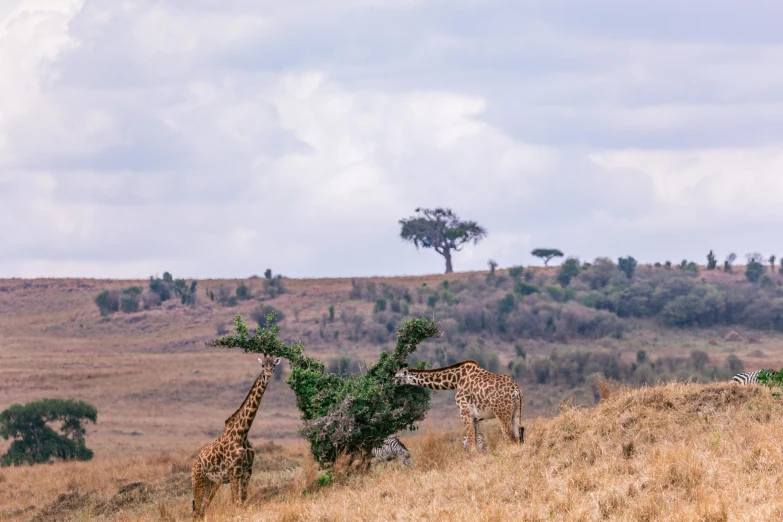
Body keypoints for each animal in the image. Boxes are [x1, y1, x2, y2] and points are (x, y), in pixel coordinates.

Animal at [191, 352, 280, 516]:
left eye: (273, 365)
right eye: (262, 365)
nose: (268, 375)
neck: (243, 432)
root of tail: (194, 463)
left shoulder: (247, 471)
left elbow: (243, 502)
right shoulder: (234, 472)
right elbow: (235, 503)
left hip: (210, 482)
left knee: (202, 510)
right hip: (198, 480)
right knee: (196, 511)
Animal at [392, 362, 528, 450]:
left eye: (397, 376)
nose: (391, 383)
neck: (455, 380)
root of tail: (515, 389)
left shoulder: (465, 413)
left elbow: (472, 446)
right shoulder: (476, 418)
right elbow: (476, 444)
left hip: (501, 413)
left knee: (509, 437)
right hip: (517, 411)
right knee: (518, 436)